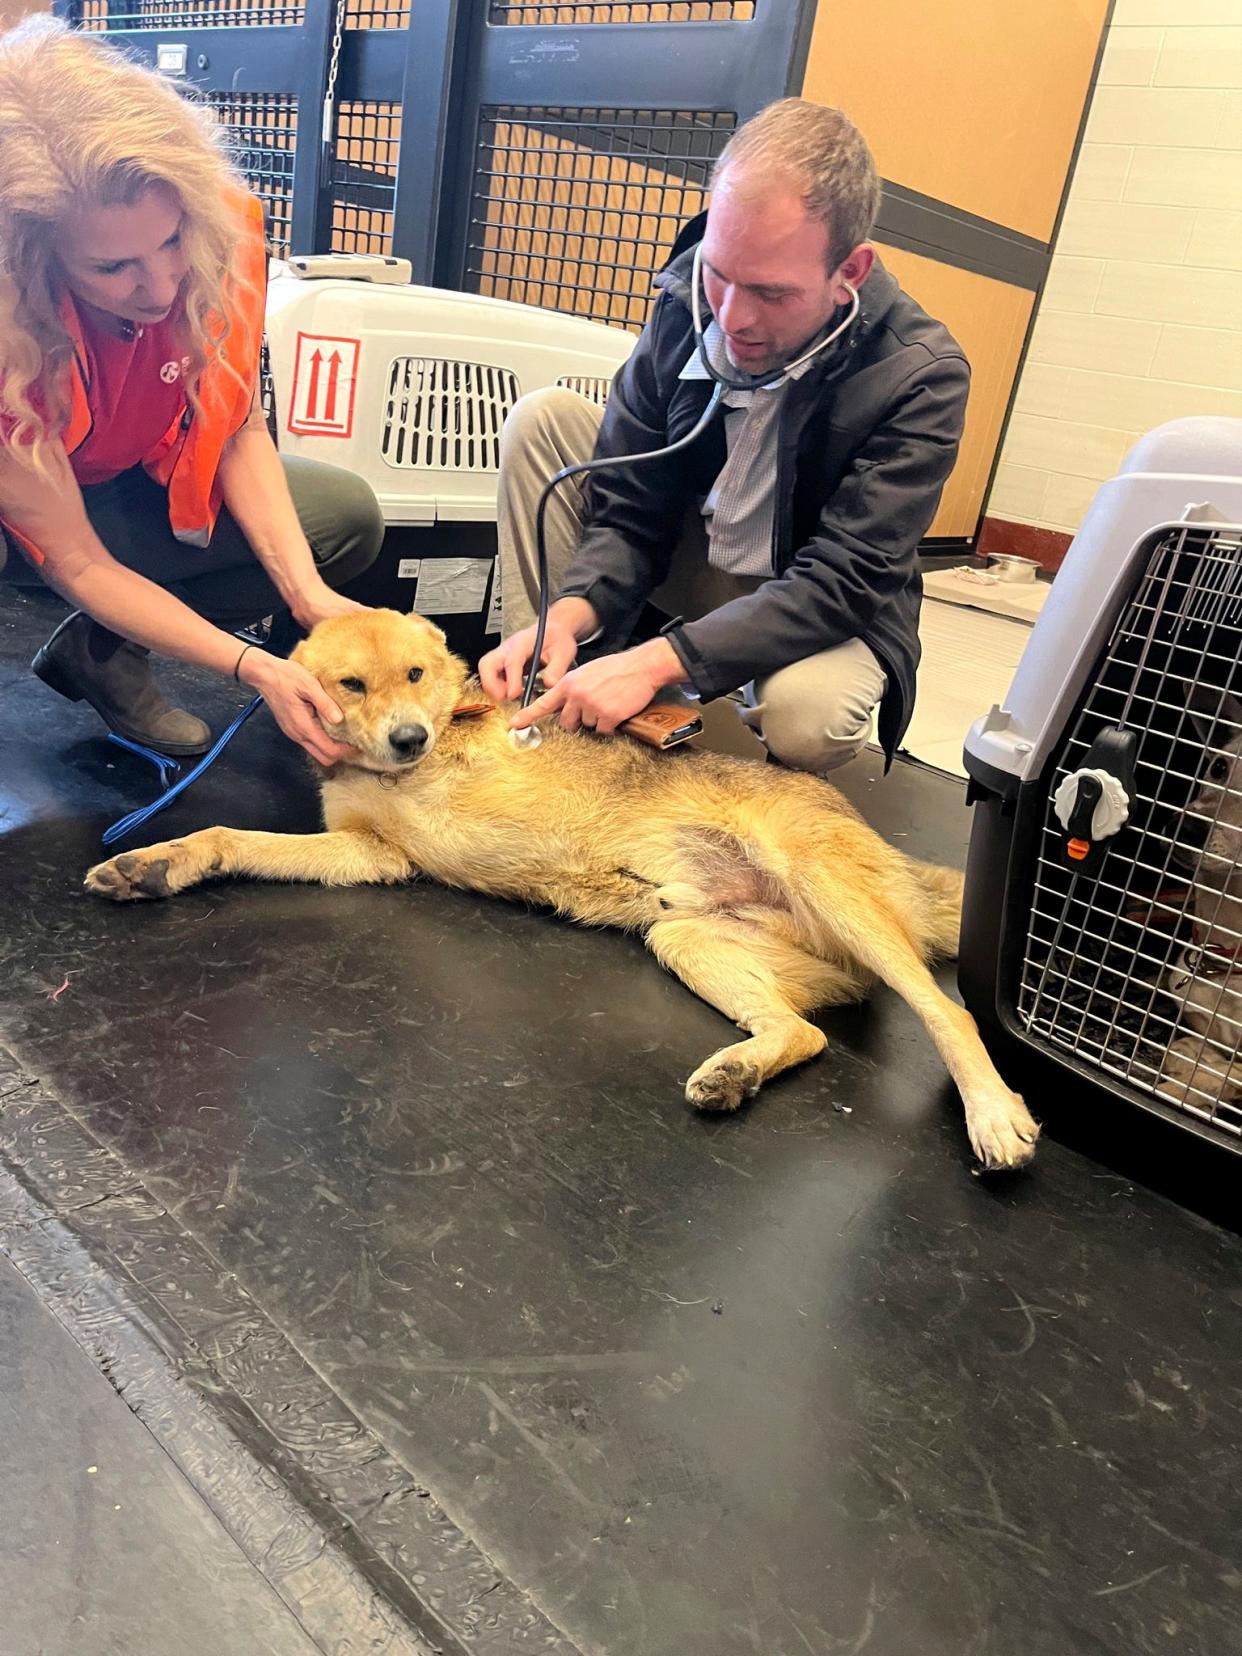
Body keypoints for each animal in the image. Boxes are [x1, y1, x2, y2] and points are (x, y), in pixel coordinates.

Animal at [85, 609, 1039, 1165]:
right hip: (689, 937)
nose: (407, 739)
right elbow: (226, 837)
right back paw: (736, 1072)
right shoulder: (371, 854)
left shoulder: (378, 845)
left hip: (830, 891)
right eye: (351, 684)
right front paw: (154, 861)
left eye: (416, 677)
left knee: (946, 1013)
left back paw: (994, 1114)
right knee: (803, 1033)